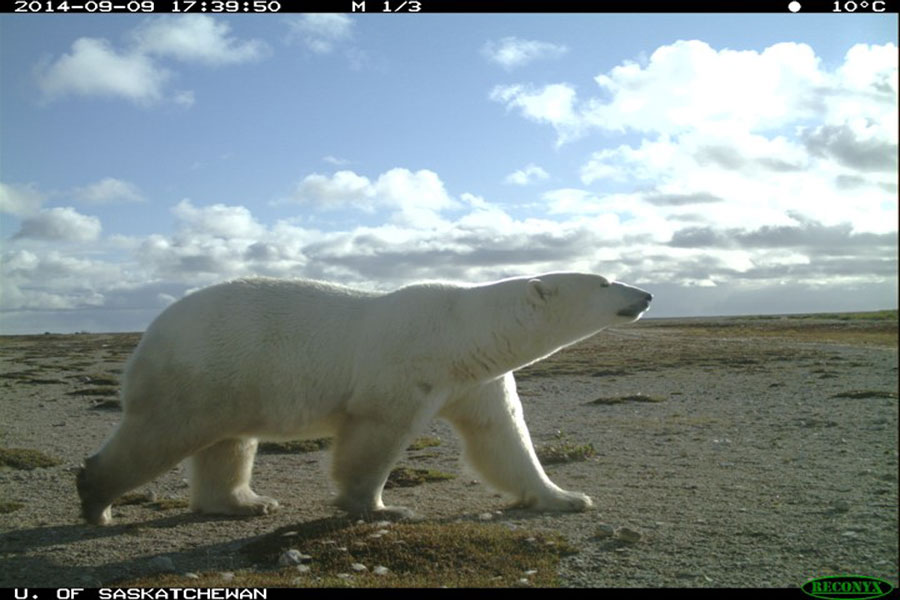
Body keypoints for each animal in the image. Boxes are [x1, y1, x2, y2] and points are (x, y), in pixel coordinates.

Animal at [77, 272, 652, 524]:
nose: (646, 294)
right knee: (161, 434)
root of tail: (151, 331)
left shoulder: (477, 380)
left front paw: (566, 497)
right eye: (604, 281)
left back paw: (247, 502)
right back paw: (95, 497)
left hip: (232, 381)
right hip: (202, 370)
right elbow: (375, 436)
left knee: (229, 442)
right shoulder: (404, 368)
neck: (463, 331)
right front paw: (381, 506)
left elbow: (503, 439)